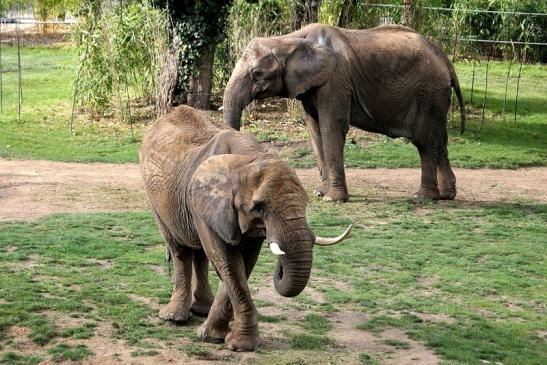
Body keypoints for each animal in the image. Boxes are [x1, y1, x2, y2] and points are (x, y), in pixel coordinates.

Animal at [140, 104, 352, 350]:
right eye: (258, 208)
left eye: (307, 202)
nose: (280, 267)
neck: (248, 158)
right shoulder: (206, 205)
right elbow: (229, 263)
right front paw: (234, 343)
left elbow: (243, 263)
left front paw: (217, 337)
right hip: (156, 199)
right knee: (180, 250)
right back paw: (174, 317)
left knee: (200, 253)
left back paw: (202, 310)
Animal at [223, 23, 466, 202]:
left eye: (257, 73)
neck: (289, 39)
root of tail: (444, 58)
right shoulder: (311, 85)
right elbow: (315, 130)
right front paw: (320, 193)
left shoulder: (336, 81)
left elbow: (332, 127)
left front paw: (333, 199)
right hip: (436, 96)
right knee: (440, 139)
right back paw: (446, 196)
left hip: (428, 92)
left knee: (424, 141)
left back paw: (423, 197)